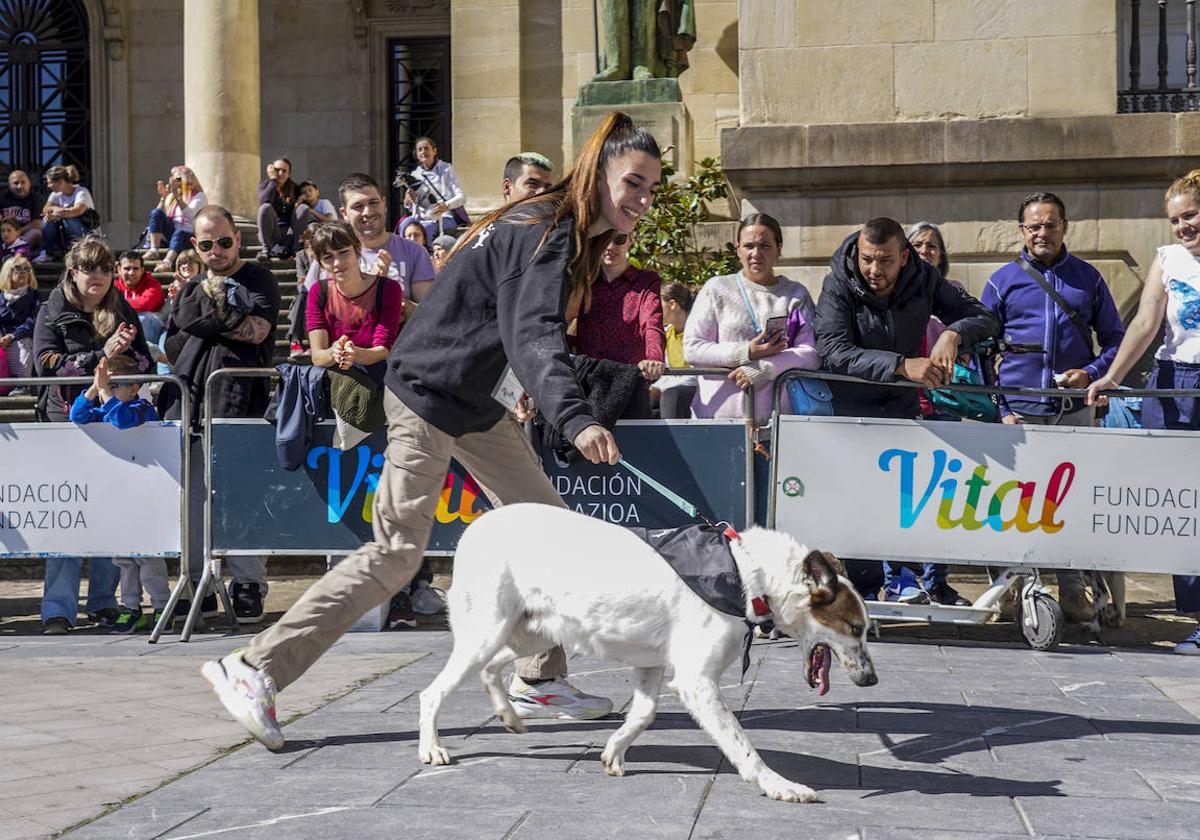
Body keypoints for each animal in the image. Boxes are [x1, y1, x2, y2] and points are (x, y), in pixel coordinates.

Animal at [417, 501, 878, 801]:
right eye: (854, 628)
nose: (872, 679)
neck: (747, 573)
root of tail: (476, 527)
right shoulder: (696, 682)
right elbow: (742, 745)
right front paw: (778, 786)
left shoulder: (653, 665)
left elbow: (643, 715)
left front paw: (614, 752)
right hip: (488, 631)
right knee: (432, 692)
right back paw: (432, 748)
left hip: (531, 632)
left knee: (491, 669)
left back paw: (509, 716)